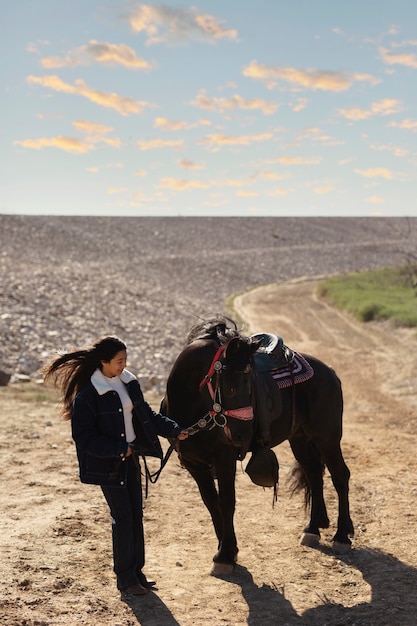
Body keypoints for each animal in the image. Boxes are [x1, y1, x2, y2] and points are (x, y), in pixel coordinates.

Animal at [161, 314, 352, 572]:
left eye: (249, 385)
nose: (240, 436)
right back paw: (312, 529)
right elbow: (211, 503)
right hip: (300, 440)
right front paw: (227, 548)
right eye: (231, 387)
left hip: (327, 437)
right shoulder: (194, 464)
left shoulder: (224, 459)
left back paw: (342, 535)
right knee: (314, 475)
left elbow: (227, 502)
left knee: (340, 476)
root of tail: (330, 372)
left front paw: (225, 556)